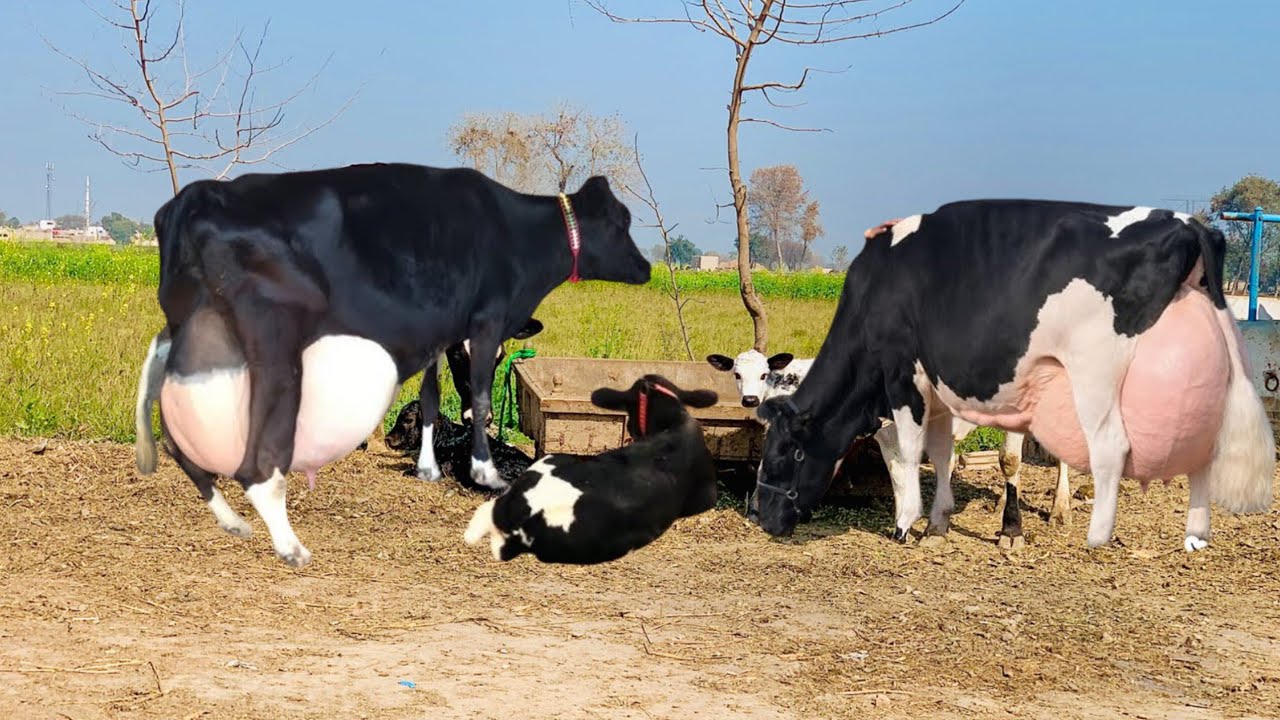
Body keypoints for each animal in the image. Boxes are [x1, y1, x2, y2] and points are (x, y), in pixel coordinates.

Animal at [142, 163, 650, 567]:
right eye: (621, 222)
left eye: (507, 353)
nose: (646, 268)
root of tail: (192, 196)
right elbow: (452, 398)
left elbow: (428, 398)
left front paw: (428, 460)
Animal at [708, 349, 1073, 545]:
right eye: (736, 374)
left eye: (767, 374)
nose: (752, 401)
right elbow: (897, 472)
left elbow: (1008, 459)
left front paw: (1012, 531)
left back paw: (1059, 508)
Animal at [752, 200, 1275, 553]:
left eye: (783, 454)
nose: (759, 516)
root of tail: (1187, 222)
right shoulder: (939, 388)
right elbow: (941, 454)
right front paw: (937, 523)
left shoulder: (912, 380)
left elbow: (943, 452)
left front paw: (933, 524)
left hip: (1104, 374)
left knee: (1114, 446)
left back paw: (1093, 529)